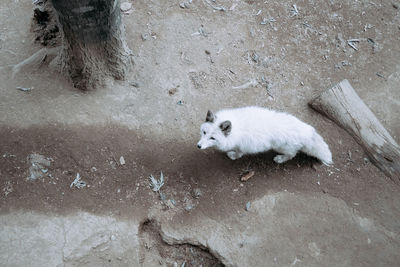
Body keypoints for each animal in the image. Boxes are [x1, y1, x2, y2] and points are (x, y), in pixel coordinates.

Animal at [196, 107, 332, 165]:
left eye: (212, 138)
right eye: (204, 132)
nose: (198, 146)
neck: (236, 128)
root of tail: (306, 132)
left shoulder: (242, 145)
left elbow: (239, 153)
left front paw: (233, 156)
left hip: (281, 148)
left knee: (292, 155)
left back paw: (280, 159)